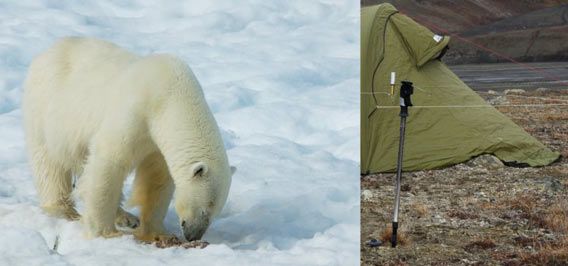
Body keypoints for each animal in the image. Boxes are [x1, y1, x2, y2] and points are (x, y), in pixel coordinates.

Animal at [23, 37, 234, 241]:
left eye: (215, 212)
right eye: (205, 209)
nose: (193, 236)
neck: (172, 98)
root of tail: (45, 52)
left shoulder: (157, 142)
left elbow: (156, 178)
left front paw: (158, 232)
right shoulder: (136, 112)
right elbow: (110, 161)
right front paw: (104, 232)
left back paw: (126, 217)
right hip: (48, 107)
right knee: (50, 164)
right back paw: (64, 210)